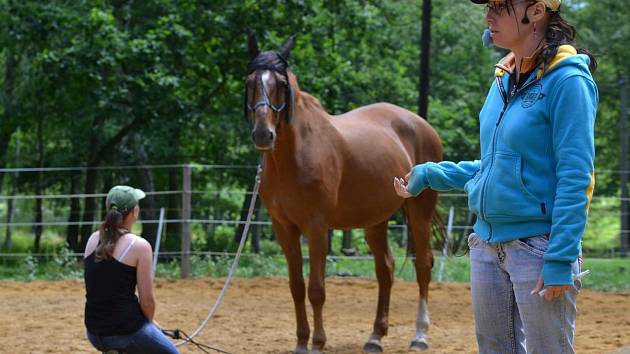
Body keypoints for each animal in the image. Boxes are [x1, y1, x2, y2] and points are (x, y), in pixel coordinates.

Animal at [246, 31, 444, 352]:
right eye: (249, 82)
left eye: (281, 84)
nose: (264, 134)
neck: (293, 156)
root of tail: (422, 125)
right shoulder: (284, 228)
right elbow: (296, 286)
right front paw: (301, 341)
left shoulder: (316, 227)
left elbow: (316, 289)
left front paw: (318, 342)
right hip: (376, 220)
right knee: (385, 270)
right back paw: (375, 337)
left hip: (419, 212)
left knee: (423, 265)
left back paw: (420, 335)